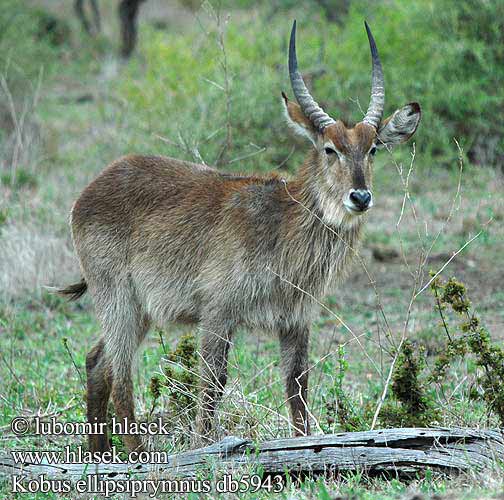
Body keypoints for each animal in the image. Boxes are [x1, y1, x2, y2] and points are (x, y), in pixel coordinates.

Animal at [56, 20, 422, 454]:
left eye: (373, 149)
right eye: (329, 148)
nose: (360, 197)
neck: (282, 223)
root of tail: (91, 188)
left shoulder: (296, 321)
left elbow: (297, 387)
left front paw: (307, 448)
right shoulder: (217, 313)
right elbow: (212, 384)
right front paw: (203, 451)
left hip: (139, 309)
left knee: (98, 363)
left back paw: (100, 455)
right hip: (119, 299)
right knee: (121, 376)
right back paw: (139, 456)